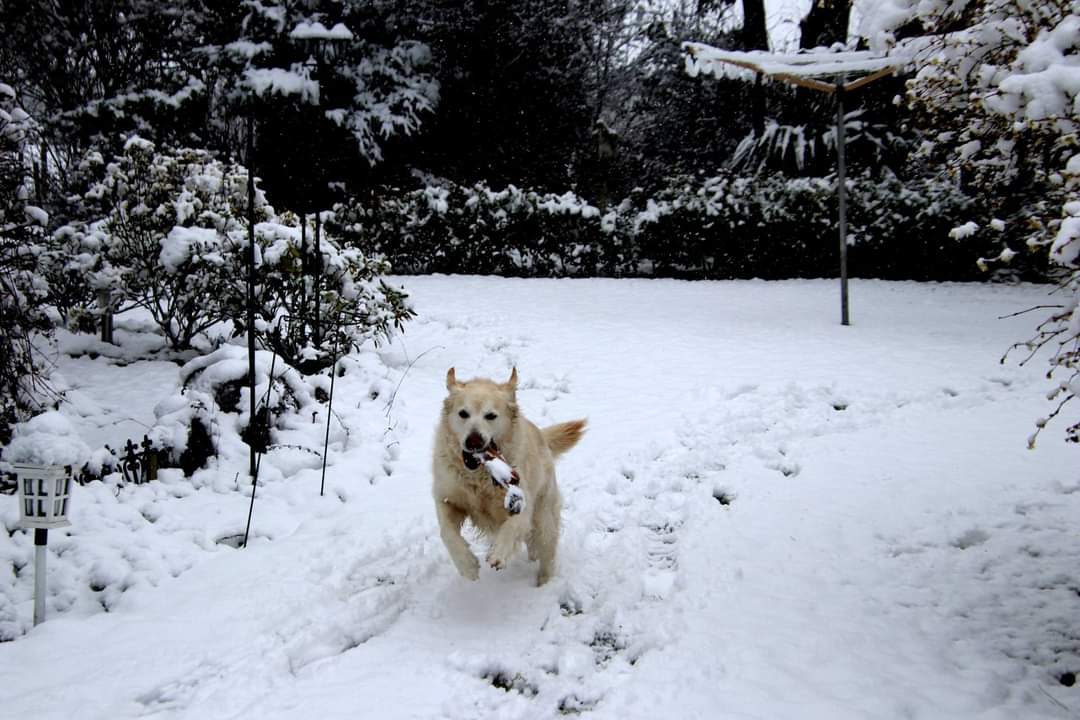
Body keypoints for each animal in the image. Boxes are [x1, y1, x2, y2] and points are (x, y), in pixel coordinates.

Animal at [429, 367, 587, 587]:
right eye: (463, 414)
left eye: (490, 416)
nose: (474, 441)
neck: (479, 475)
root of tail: (542, 436)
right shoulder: (447, 499)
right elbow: (447, 533)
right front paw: (467, 566)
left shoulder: (521, 502)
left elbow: (512, 526)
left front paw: (499, 553)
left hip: (544, 515)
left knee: (546, 551)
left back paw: (543, 584)